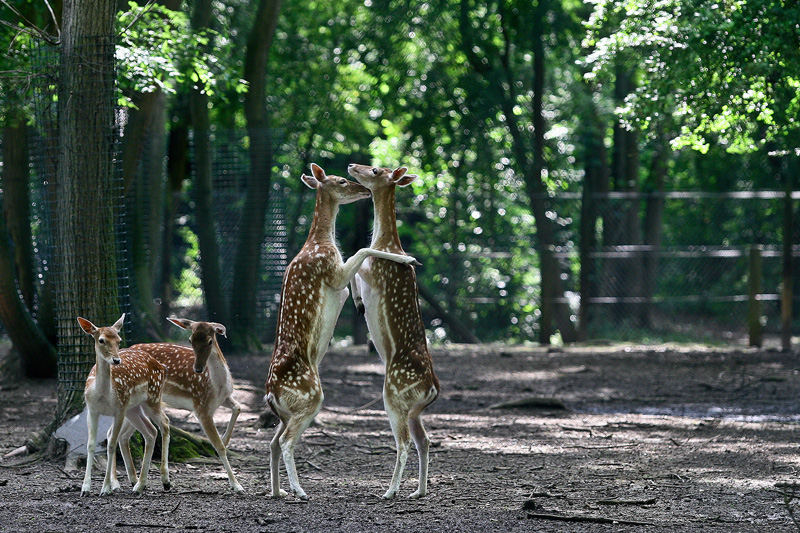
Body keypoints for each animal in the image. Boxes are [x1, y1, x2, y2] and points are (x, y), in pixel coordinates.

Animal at [78, 314, 170, 496]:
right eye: (101, 340)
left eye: (119, 340)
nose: (116, 360)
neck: (103, 395)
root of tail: (161, 367)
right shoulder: (92, 410)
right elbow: (91, 444)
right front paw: (85, 488)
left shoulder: (119, 409)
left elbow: (111, 445)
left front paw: (105, 488)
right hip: (133, 408)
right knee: (151, 432)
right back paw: (139, 484)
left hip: (152, 398)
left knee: (164, 424)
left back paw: (164, 481)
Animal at [111, 318, 244, 492]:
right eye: (190, 340)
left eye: (210, 341)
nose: (198, 369)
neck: (218, 386)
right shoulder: (201, 406)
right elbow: (218, 446)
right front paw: (237, 485)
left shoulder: (224, 398)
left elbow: (238, 407)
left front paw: (226, 439)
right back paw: (118, 483)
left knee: (121, 435)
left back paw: (133, 480)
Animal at [268, 162, 422, 498]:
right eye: (341, 181)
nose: (361, 188)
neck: (319, 244)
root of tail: (270, 394)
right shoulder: (333, 272)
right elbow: (363, 249)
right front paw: (408, 257)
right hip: (311, 396)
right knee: (285, 441)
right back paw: (299, 491)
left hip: (286, 412)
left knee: (272, 441)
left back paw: (278, 491)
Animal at [346, 163, 440, 498]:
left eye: (375, 170)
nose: (352, 165)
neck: (385, 241)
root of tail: (433, 390)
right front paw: (358, 303)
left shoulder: (372, 272)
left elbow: (357, 259)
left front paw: (360, 302)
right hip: (413, 408)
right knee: (424, 440)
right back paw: (419, 491)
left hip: (393, 394)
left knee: (404, 442)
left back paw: (390, 491)